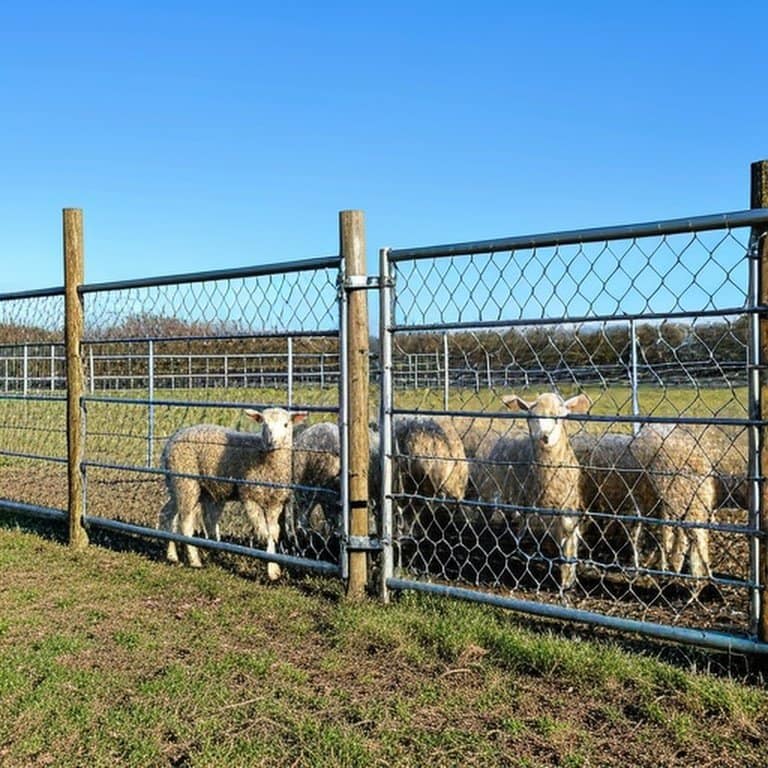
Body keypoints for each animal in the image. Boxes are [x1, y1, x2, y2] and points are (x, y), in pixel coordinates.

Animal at [159, 407, 307, 580]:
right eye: (264, 424)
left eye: (286, 425)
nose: (273, 442)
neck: (266, 459)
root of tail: (172, 440)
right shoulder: (250, 497)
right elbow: (264, 533)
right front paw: (270, 568)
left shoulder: (275, 502)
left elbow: (273, 533)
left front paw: (274, 569)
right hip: (186, 480)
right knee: (186, 523)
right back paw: (194, 560)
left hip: (176, 484)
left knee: (168, 514)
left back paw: (172, 555)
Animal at [472, 392, 591, 590]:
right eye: (532, 415)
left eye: (559, 416)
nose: (544, 436)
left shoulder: (567, 506)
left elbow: (569, 539)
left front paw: (569, 580)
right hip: (492, 488)